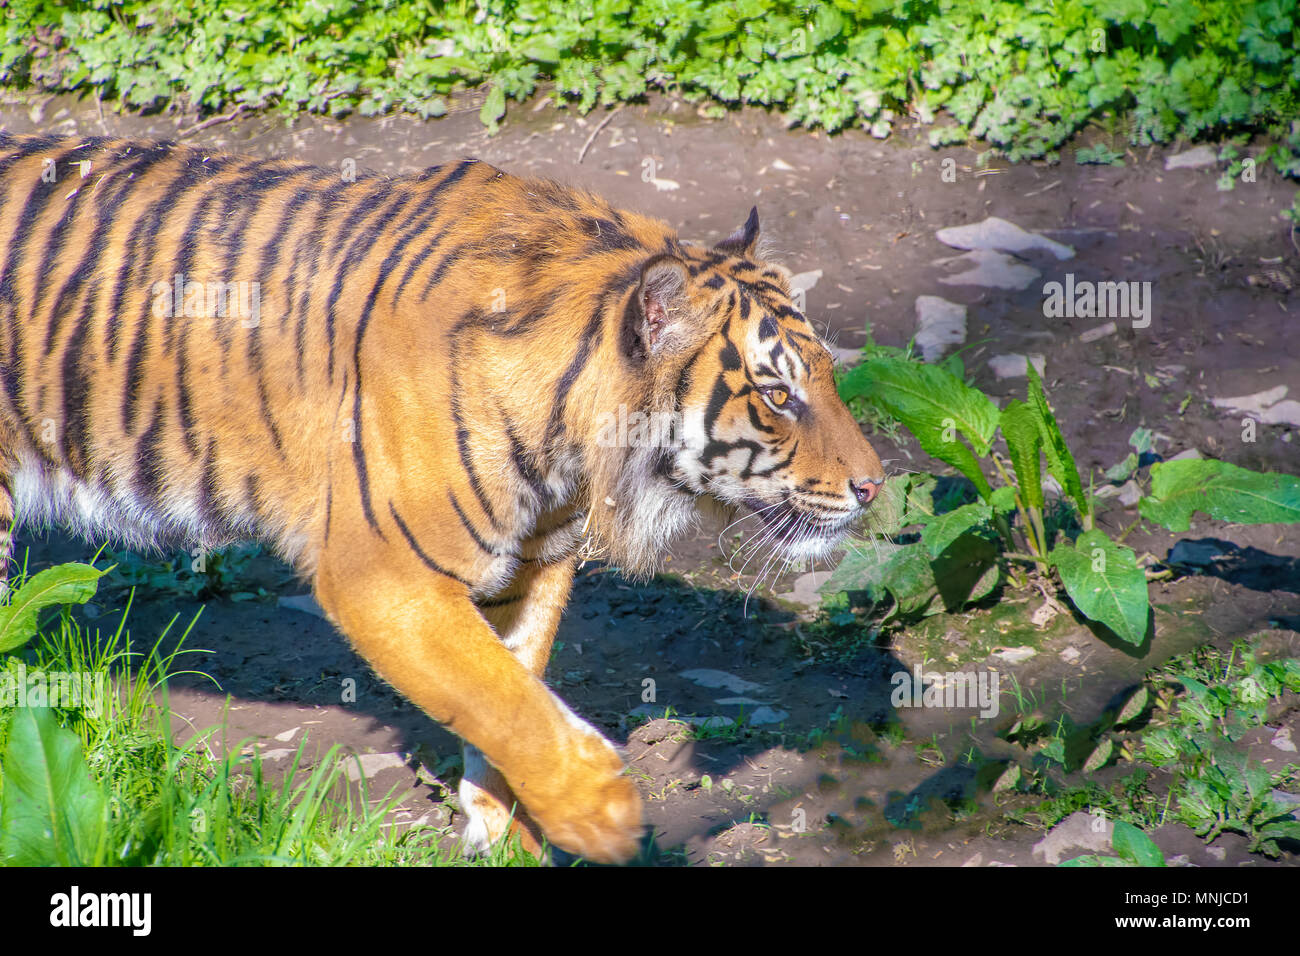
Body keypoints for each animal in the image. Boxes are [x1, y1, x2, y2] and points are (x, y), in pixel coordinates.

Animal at [0, 130, 885, 863]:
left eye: (824, 377)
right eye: (778, 397)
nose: (875, 485)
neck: (571, 440)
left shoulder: (532, 566)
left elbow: (512, 695)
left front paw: (508, 837)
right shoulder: (383, 574)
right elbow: (500, 698)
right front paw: (603, 815)